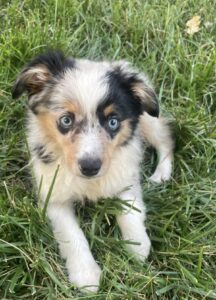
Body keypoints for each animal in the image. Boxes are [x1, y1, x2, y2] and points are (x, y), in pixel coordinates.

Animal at [11, 50, 174, 292]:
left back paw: (161, 174)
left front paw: (137, 245)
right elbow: (72, 233)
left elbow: (130, 209)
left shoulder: (125, 172)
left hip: (148, 120)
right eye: (66, 120)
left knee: (166, 139)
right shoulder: (52, 194)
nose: (90, 167)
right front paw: (86, 275)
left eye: (113, 122)